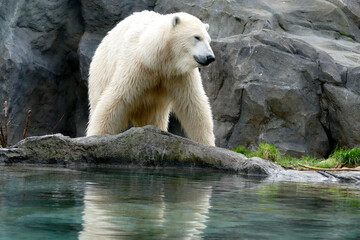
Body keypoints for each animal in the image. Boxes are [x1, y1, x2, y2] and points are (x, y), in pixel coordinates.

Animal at [86, 10, 217, 146]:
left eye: (209, 40)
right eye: (197, 37)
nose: (210, 57)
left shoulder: (180, 75)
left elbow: (193, 104)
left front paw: (208, 144)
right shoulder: (138, 66)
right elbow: (117, 98)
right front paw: (96, 136)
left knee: (155, 116)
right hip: (102, 70)